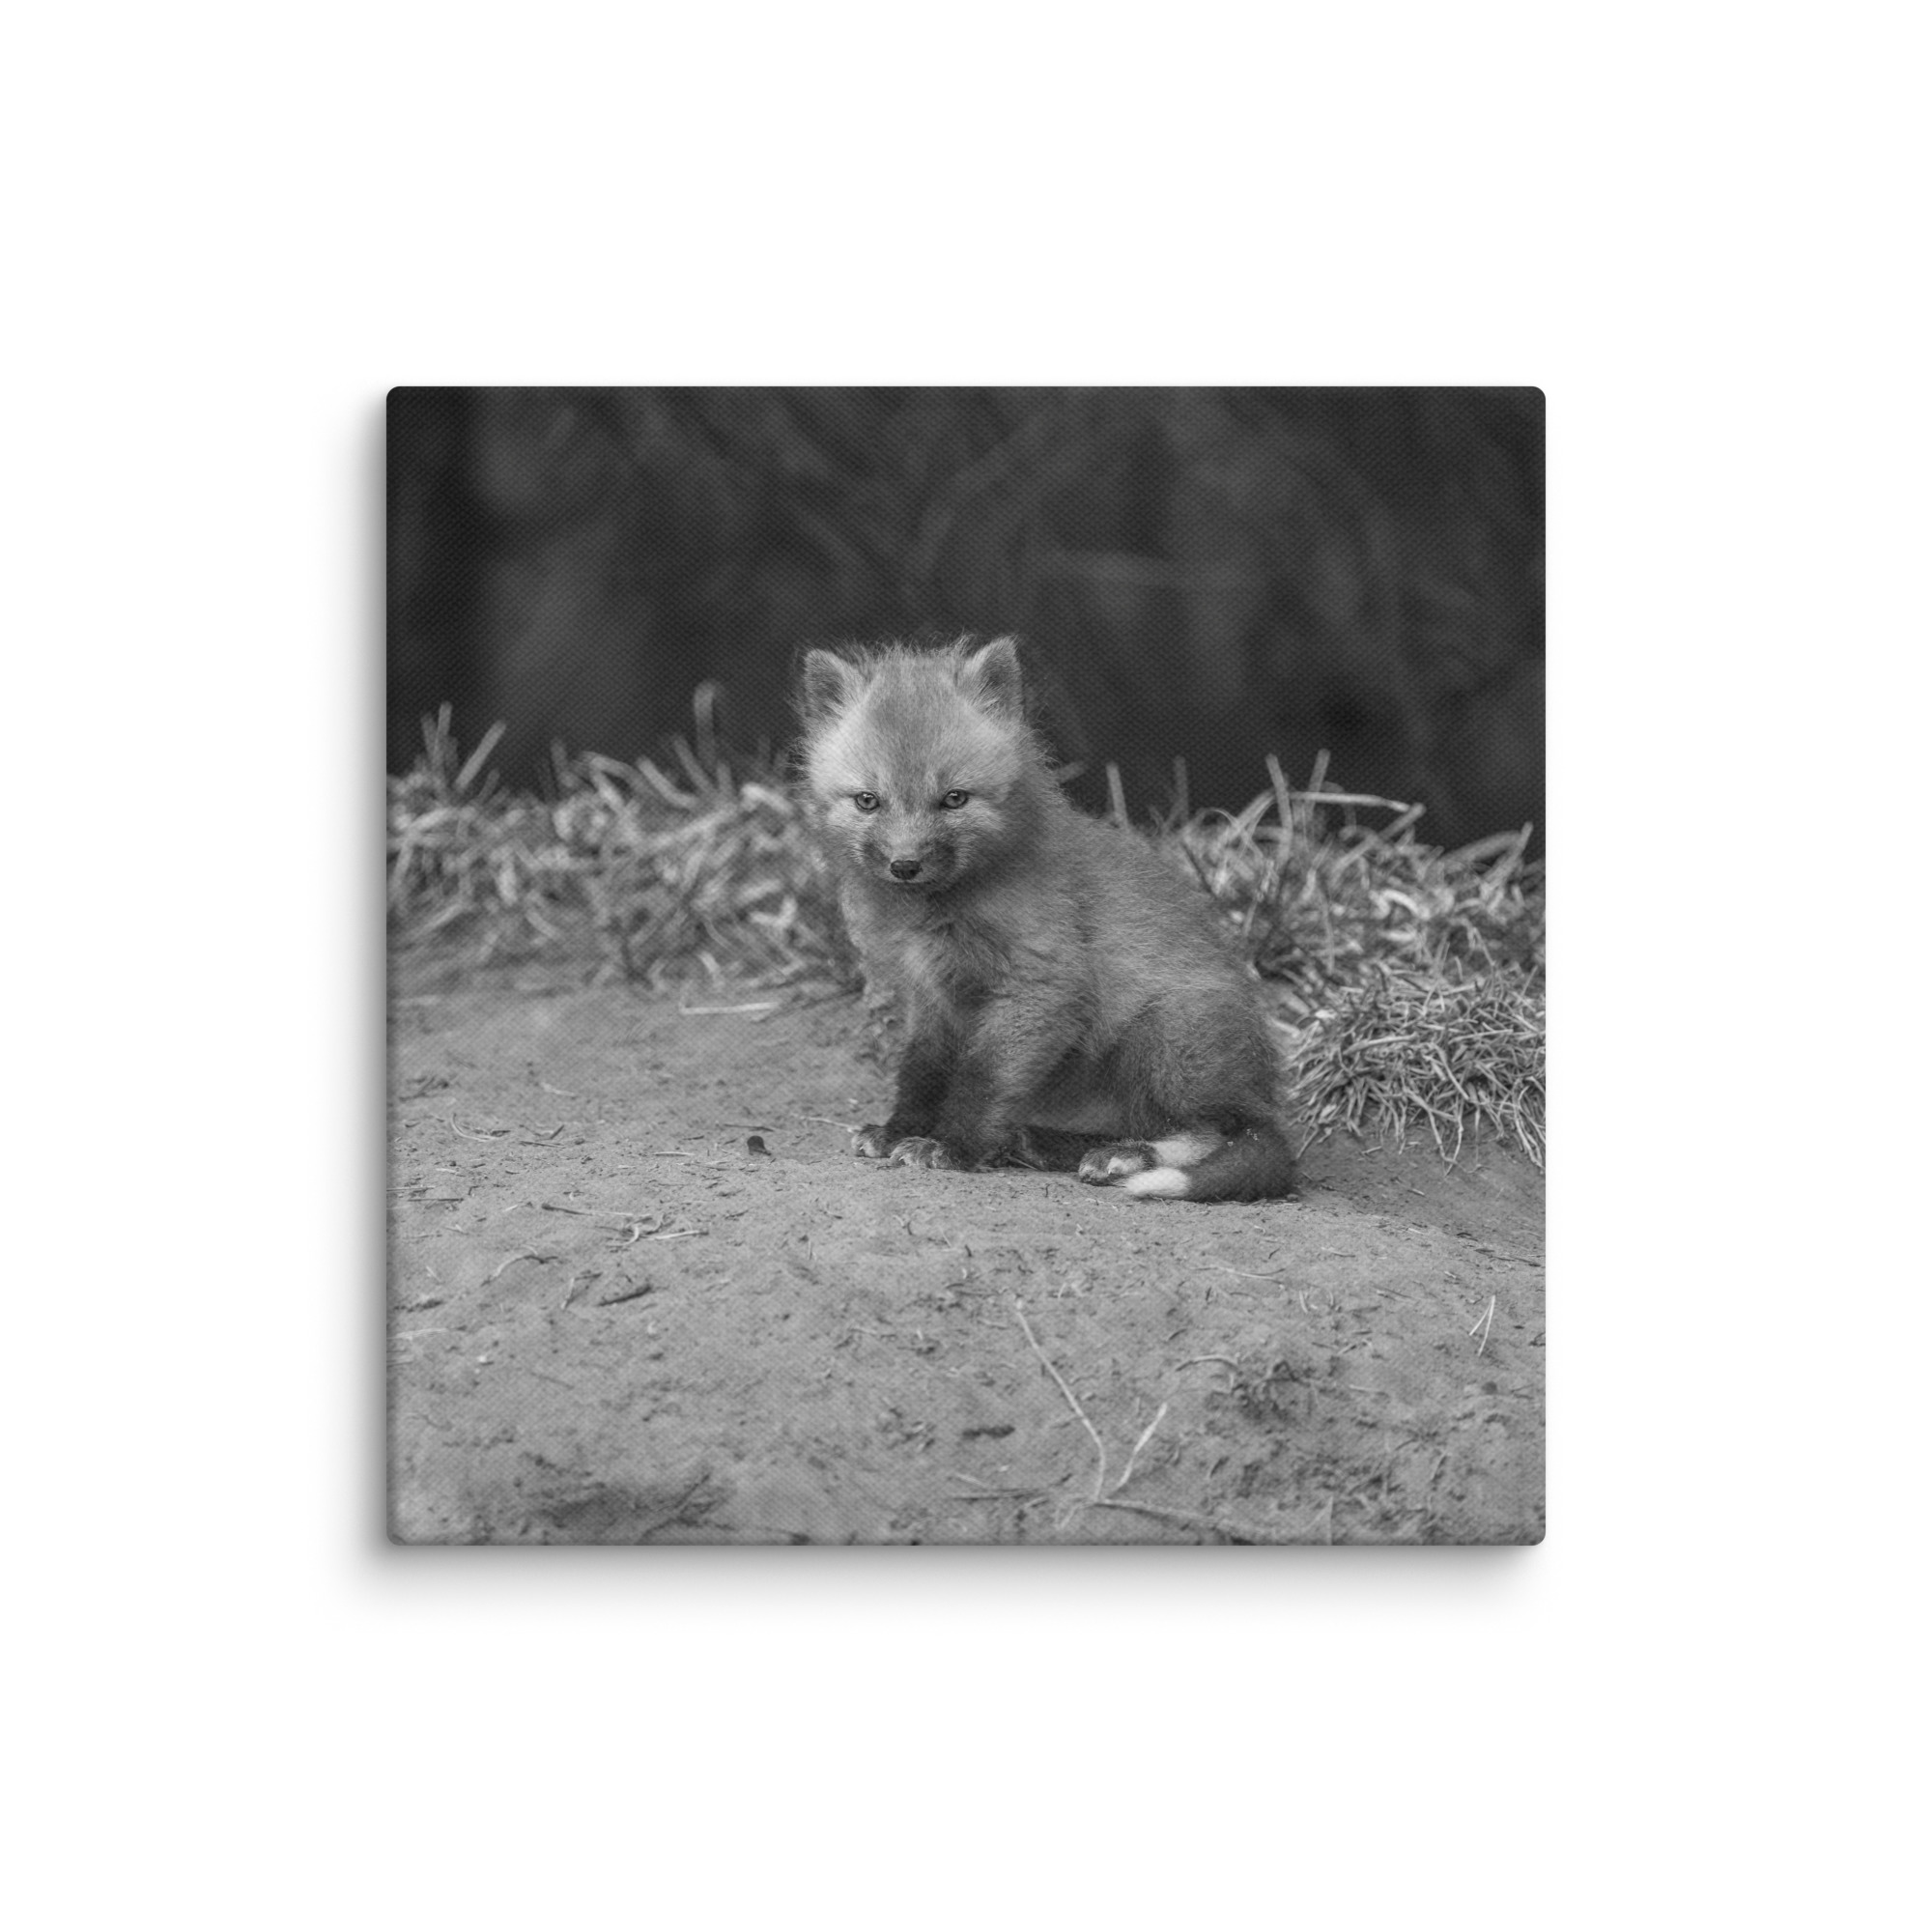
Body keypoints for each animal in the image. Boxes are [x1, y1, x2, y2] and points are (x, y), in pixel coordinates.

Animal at [797, 633, 1296, 1202]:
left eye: (954, 799)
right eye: (868, 801)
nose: (905, 865)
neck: (942, 914)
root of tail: (1260, 1087)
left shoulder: (1040, 986)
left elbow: (983, 1078)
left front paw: (953, 1146)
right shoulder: (932, 997)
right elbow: (921, 1071)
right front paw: (900, 1129)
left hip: (1166, 1037)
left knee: (1224, 1131)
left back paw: (1125, 1157)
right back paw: (1044, 1143)